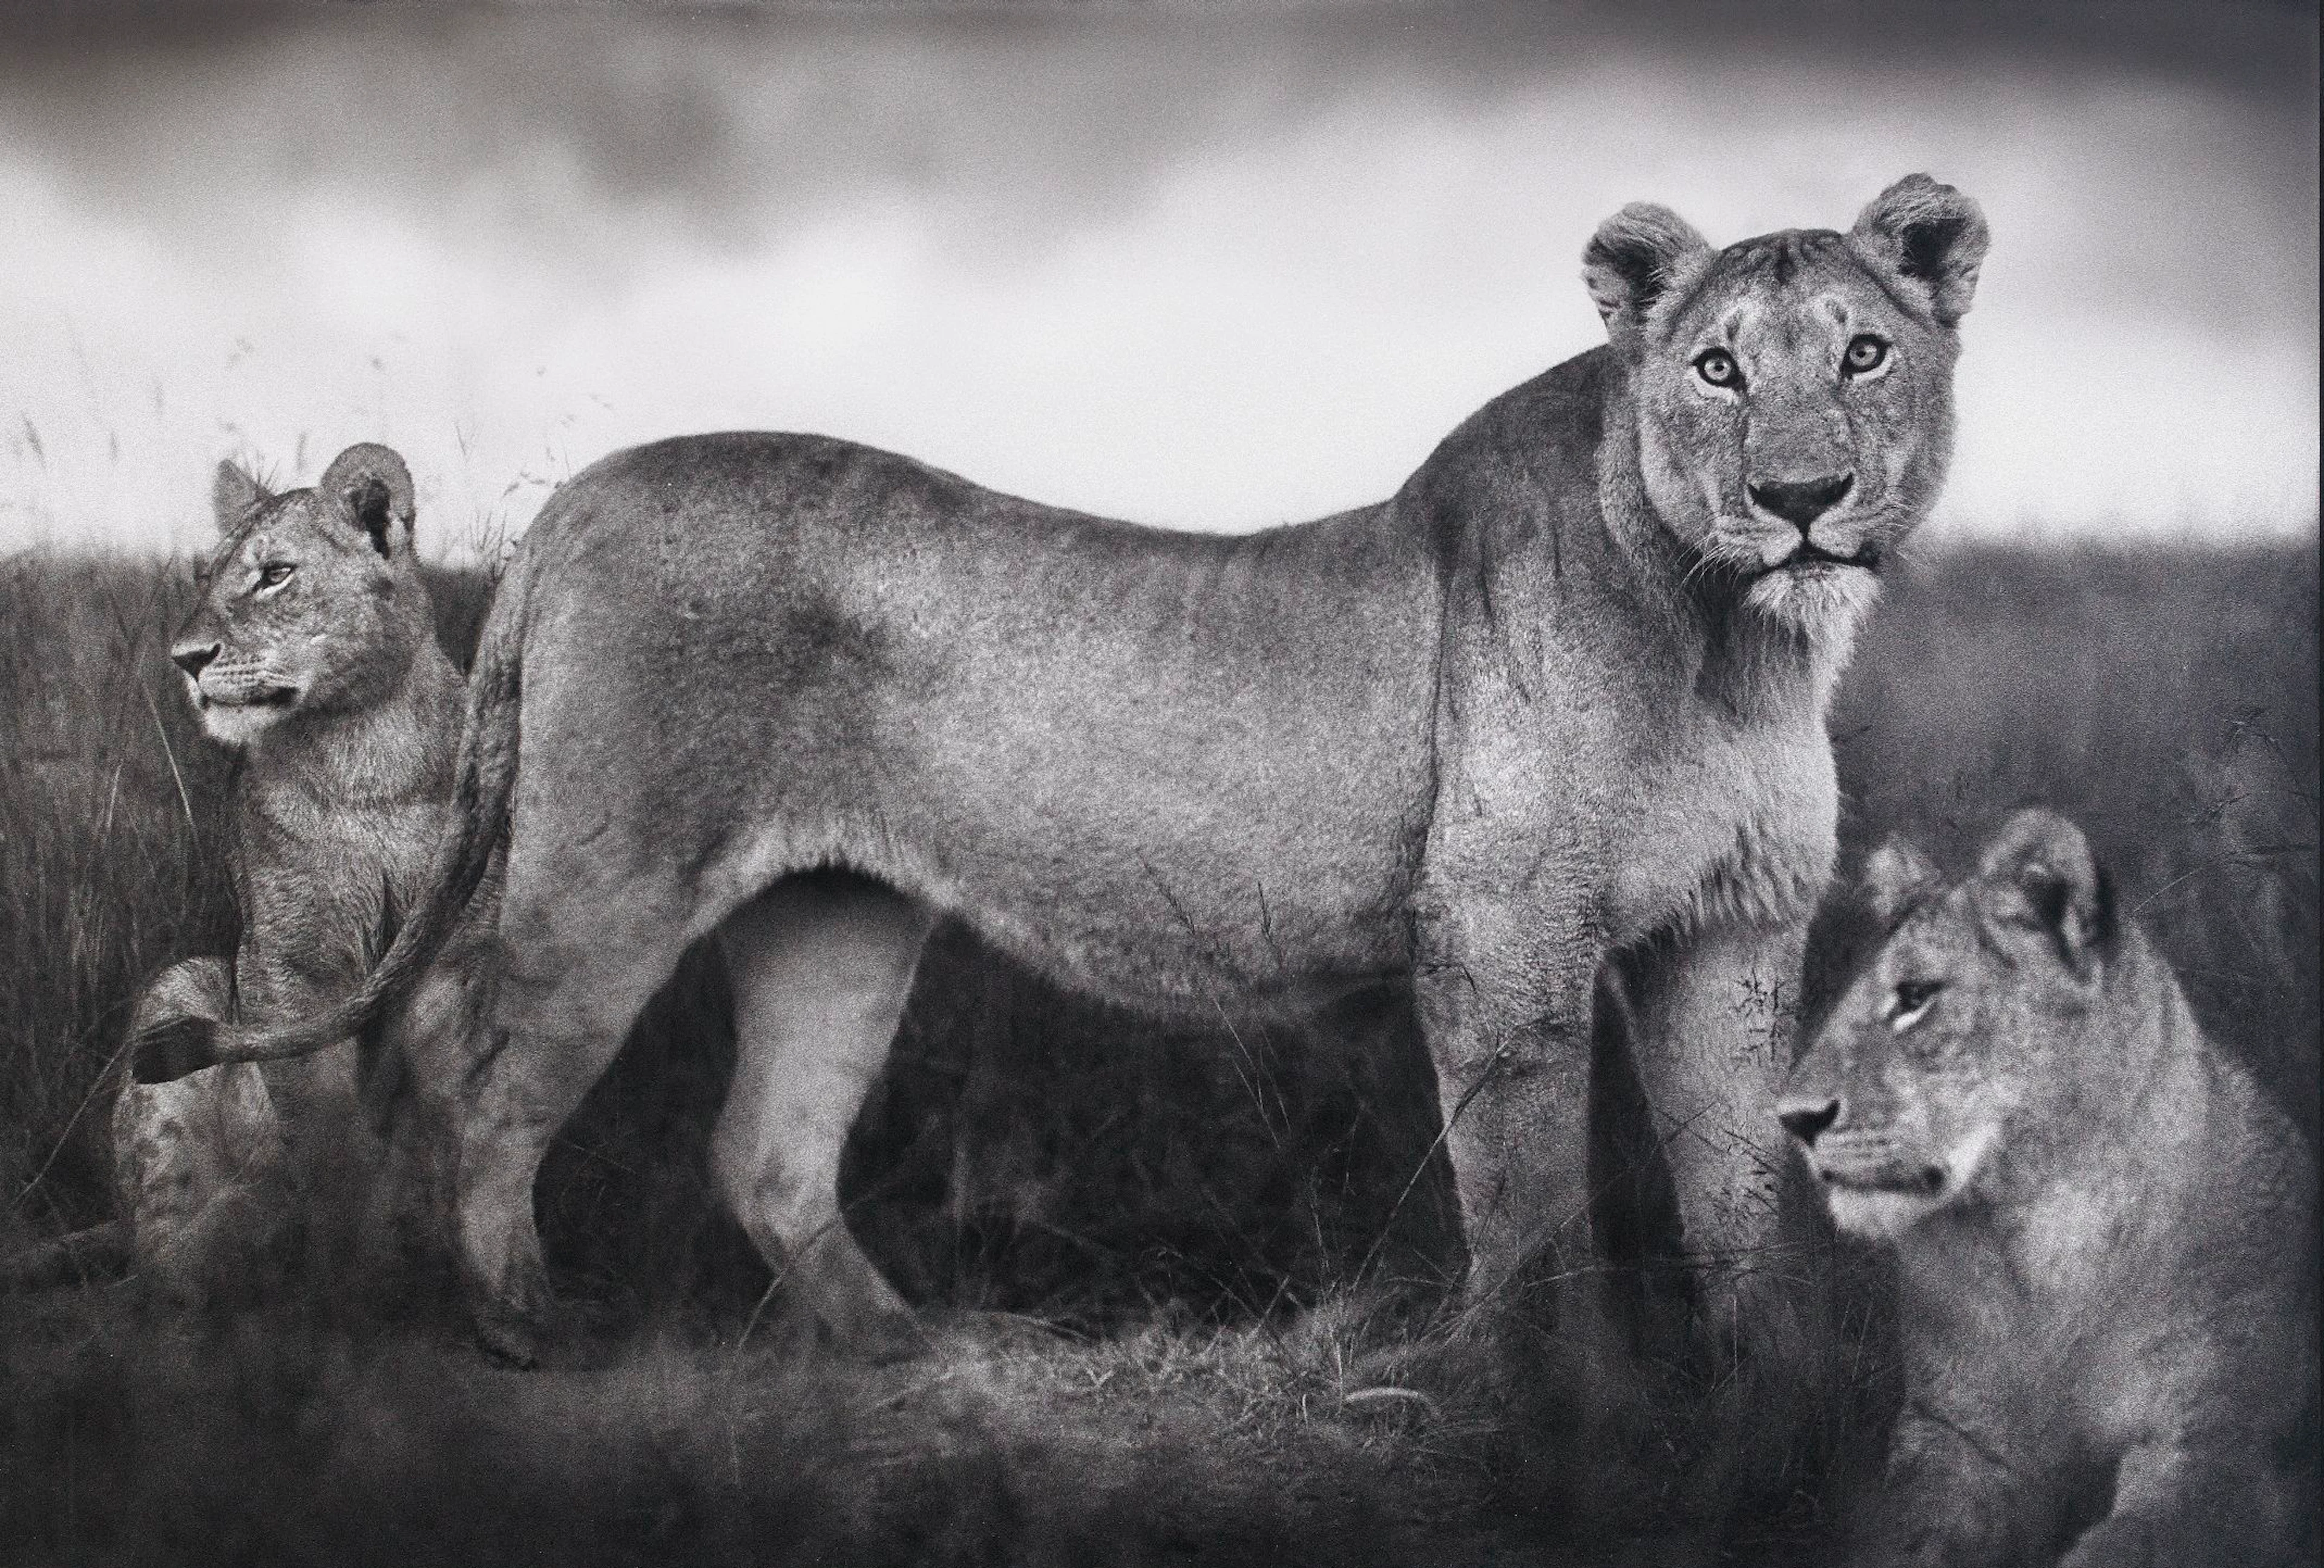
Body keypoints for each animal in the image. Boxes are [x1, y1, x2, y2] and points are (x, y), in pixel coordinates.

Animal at [139, 176, 1989, 1372]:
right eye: (1717, 365)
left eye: (1864, 354)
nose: (1804, 496)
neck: (1736, 639)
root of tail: (575, 500)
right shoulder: (1498, 935)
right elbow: (1532, 1198)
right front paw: (1559, 1411)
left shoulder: (1734, 929)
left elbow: (1739, 1176)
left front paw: (1769, 1398)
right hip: (610, 867)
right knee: (466, 1047)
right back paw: (515, 1321)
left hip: (838, 914)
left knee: (764, 1145)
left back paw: (916, 1345)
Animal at [1779, 809, 2318, 1566]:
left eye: (1915, 998)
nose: (1793, 1118)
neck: (2041, 1241)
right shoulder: (1951, 1435)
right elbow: (1913, 1533)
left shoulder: (2221, 1451)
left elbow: (2126, 1546)